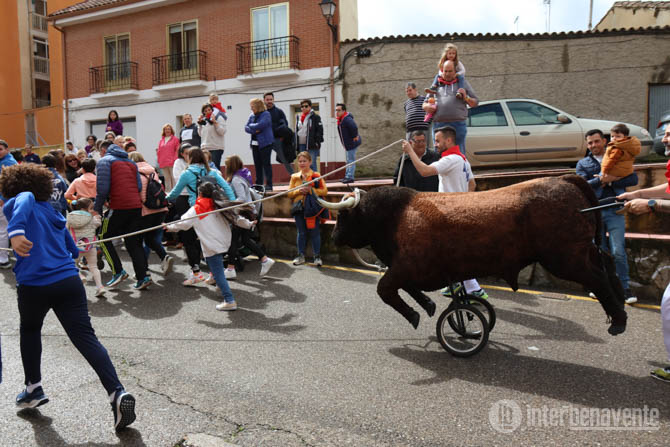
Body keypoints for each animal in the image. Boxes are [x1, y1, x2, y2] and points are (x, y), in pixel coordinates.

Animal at [318, 175, 627, 336]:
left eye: (344, 216)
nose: (333, 237)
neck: (395, 215)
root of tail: (564, 179)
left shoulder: (406, 266)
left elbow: (385, 289)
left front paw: (415, 314)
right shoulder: (414, 270)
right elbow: (410, 289)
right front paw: (428, 305)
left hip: (566, 258)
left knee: (598, 277)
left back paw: (618, 321)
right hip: (582, 251)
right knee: (608, 265)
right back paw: (619, 311)